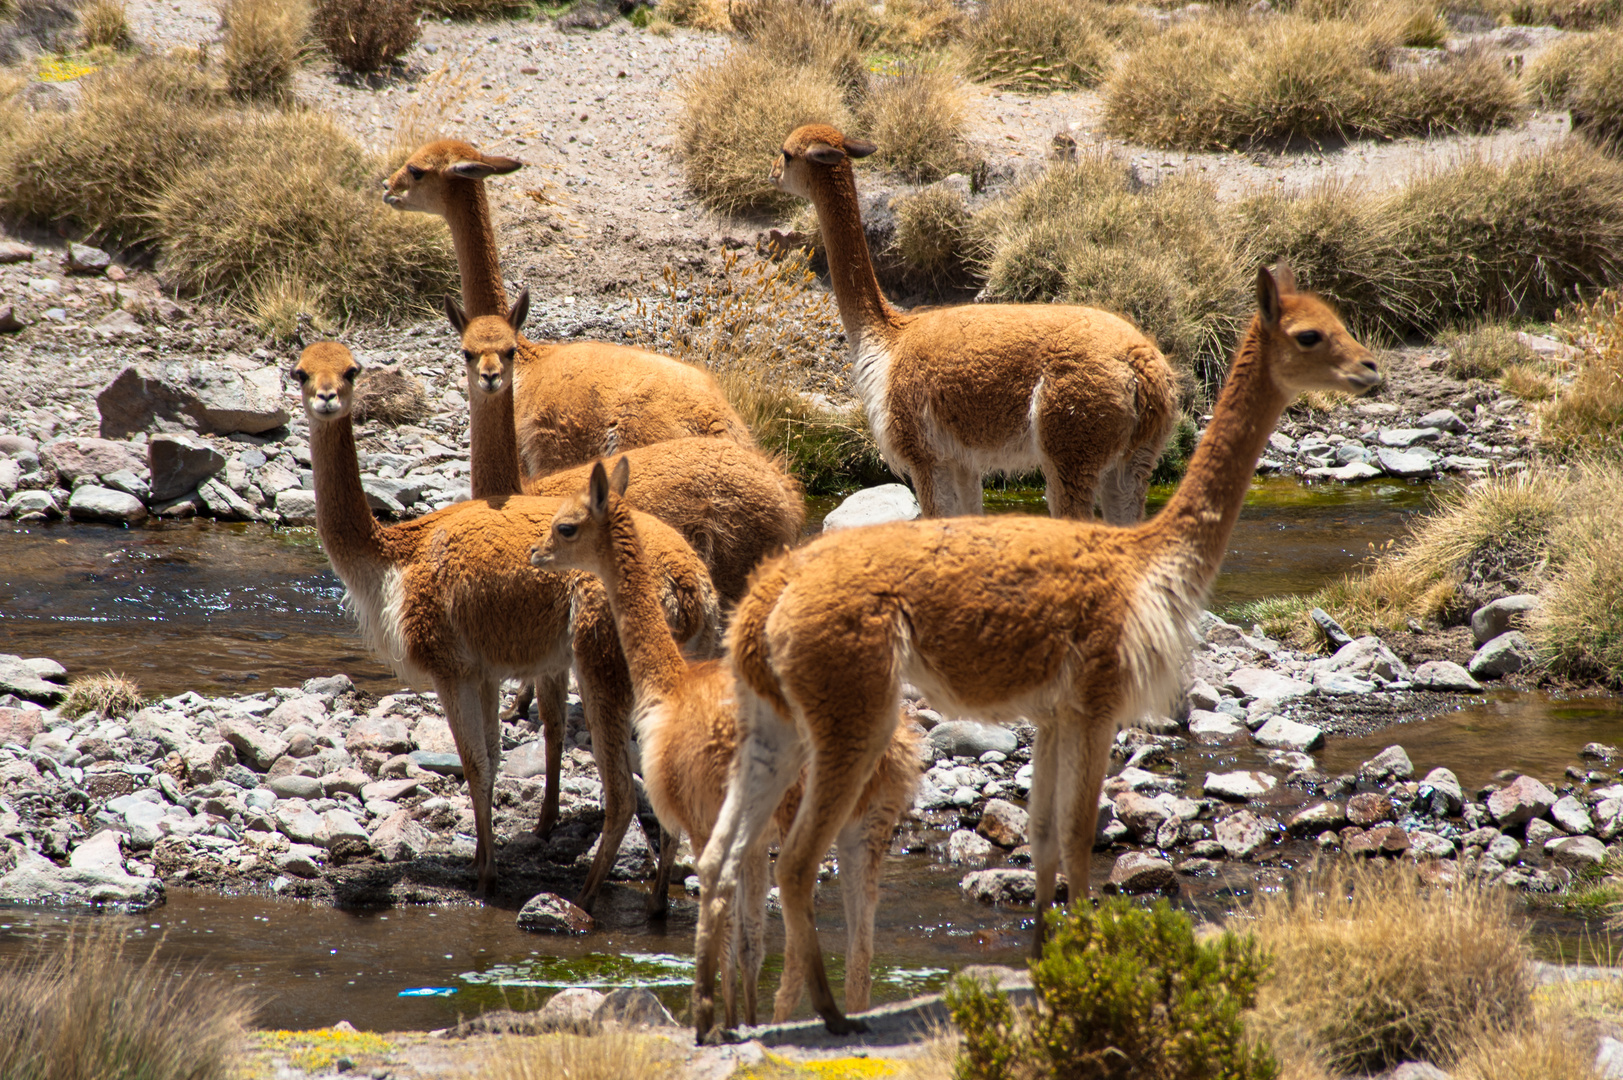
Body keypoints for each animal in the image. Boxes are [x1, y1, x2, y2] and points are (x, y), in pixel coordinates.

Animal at [529, 457, 921, 1026]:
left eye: (566, 525)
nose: (534, 553)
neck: (671, 684)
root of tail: (891, 753)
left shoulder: (700, 818)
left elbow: (730, 926)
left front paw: (726, 1019)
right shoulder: (748, 837)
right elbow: (751, 938)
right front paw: (741, 1019)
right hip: (868, 827)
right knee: (859, 945)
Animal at [694, 263, 1382, 1039]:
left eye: (1339, 320)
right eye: (1310, 334)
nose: (1371, 369)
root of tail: (765, 601)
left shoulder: (1051, 706)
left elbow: (1049, 831)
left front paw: (1055, 958)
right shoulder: (1090, 695)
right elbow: (1075, 832)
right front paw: (1083, 961)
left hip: (779, 715)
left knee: (733, 856)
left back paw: (728, 1013)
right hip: (858, 703)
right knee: (787, 859)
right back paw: (823, 1015)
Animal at [775, 126, 1181, 522]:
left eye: (786, 154)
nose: (772, 176)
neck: (888, 340)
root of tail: (1142, 366)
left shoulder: (924, 454)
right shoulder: (961, 461)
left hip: (1072, 439)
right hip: (1136, 459)